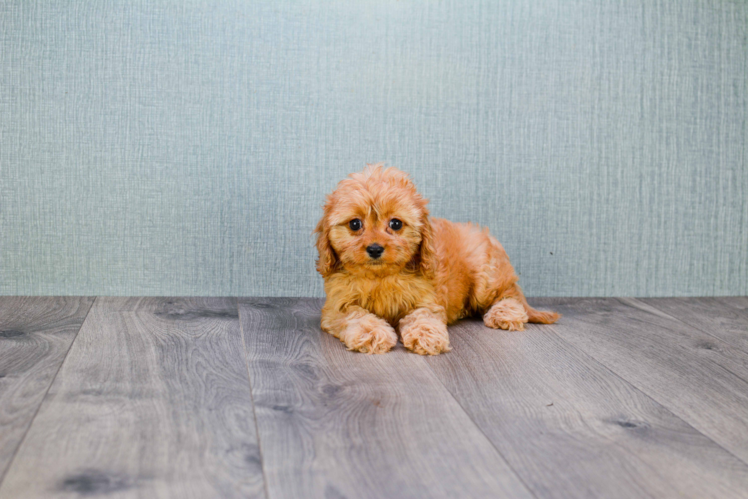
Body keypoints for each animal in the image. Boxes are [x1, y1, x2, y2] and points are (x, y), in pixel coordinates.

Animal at [312, 165, 560, 356]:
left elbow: (424, 316)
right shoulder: (337, 306)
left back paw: (504, 313)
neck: (381, 277)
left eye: (395, 224)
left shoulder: (427, 298)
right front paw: (372, 333)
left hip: (486, 275)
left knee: (510, 294)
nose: (374, 248)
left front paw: (427, 336)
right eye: (355, 224)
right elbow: (356, 316)